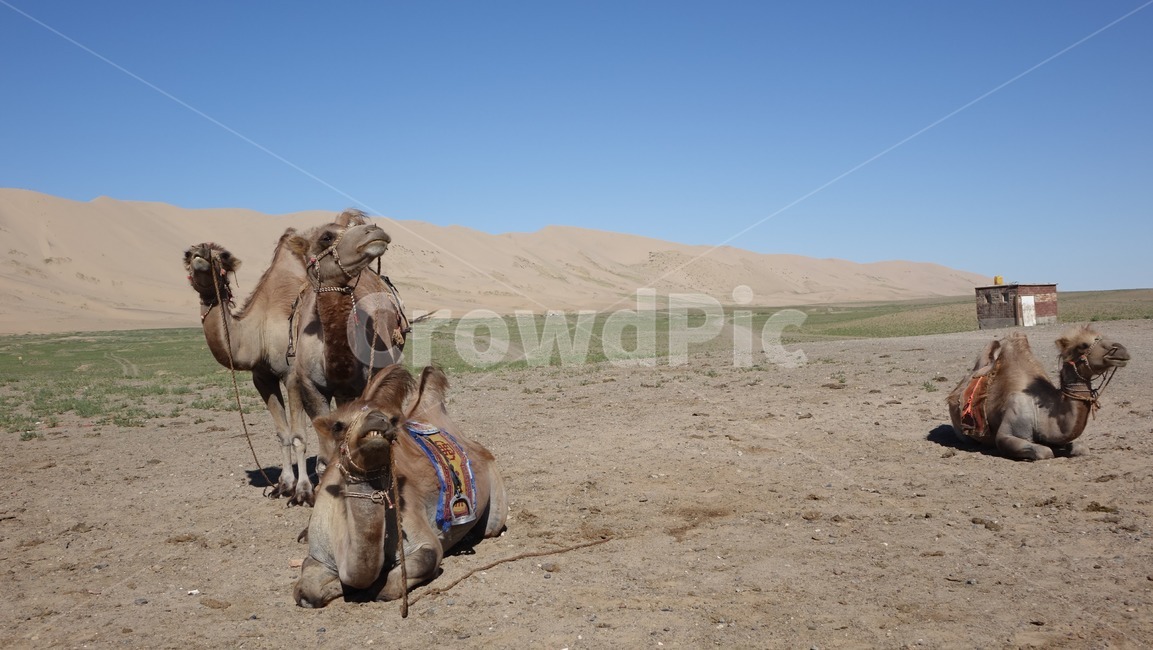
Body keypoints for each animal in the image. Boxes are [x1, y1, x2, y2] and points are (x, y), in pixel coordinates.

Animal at [182, 231, 315, 504]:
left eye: (223, 255)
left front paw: (303, 491)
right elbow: (282, 434)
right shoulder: (262, 378)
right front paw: (283, 485)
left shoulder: (293, 376)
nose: (200, 252)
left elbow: (299, 437)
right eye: (187, 254)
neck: (259, 331)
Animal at [294, 365, 508, 608]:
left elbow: (409, 572)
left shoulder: (421, 539)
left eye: (392, 419)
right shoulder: (318, 556)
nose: (376, 419)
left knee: (491, 527)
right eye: (338, 425)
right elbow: (306, 591)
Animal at [946, 325, 1130, 460]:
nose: (1121, 350)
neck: (1041, 413)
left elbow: (1081, 448)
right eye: (1082, 345)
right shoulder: (1007, 433)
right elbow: (1045, 452)